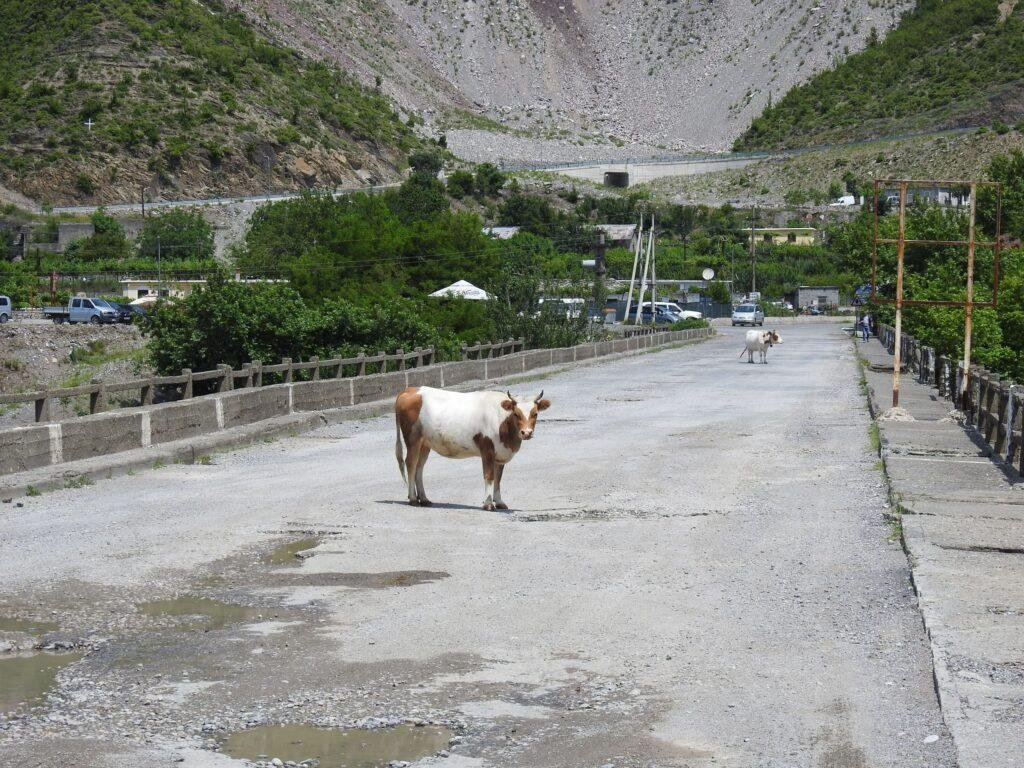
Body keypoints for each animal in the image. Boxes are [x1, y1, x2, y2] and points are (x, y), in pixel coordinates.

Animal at [393, 391, 552, 512]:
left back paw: (424, 498)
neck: (502, 420)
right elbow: (489, 476)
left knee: (419, 467)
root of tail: (410, 390)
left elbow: (498, 478)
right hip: (413, 438)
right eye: (516, 414)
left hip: (425, 443)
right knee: (411, 464)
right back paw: (413, 498)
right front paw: (488, 504)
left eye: (535, 413)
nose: (527, 433)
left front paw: (499, 502)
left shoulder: (500, 454)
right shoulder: (487, 449)